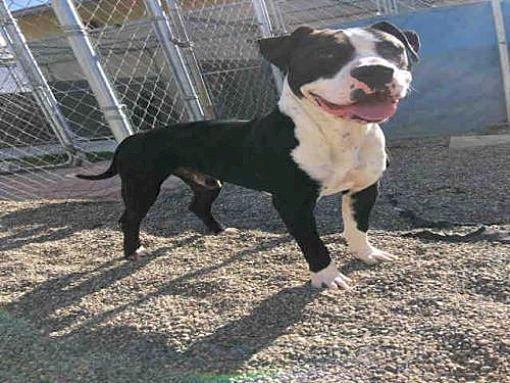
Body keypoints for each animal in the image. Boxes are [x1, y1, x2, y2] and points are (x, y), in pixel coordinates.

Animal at [78, 22, 418, 290]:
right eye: (326, 55)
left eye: (392, 50)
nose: (374, 70)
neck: (341, 135)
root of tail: (132, 138)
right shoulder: (292, 203)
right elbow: (314, 244)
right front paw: (327, 277)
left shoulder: (364, 188)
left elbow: (358, 227)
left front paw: (366, 254)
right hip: (143, 186)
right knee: (129, 217)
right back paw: (132, 251)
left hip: (207, 182)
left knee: (197, 204)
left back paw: (219, 231)